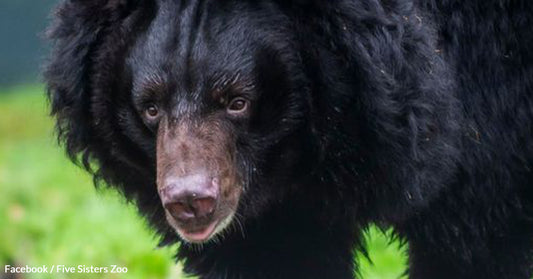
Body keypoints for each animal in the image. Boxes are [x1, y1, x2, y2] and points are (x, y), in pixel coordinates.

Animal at [44, 0, 532, 278]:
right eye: (150, 107)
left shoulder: (494, 123)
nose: (190, 203)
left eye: (237, 102)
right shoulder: (273, 215)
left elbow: (481, 245)